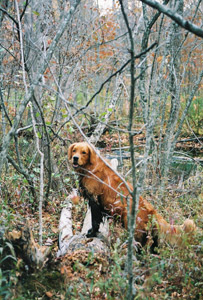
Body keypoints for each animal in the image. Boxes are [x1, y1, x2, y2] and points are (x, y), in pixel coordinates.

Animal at [68, 142, 197, 252]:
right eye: (74, 150)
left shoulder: (95, 201)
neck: (91, 168)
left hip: (131, 224)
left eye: (84, 152)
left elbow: (95, 221)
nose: (75, 158)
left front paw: (91, 233)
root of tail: (153, 213)